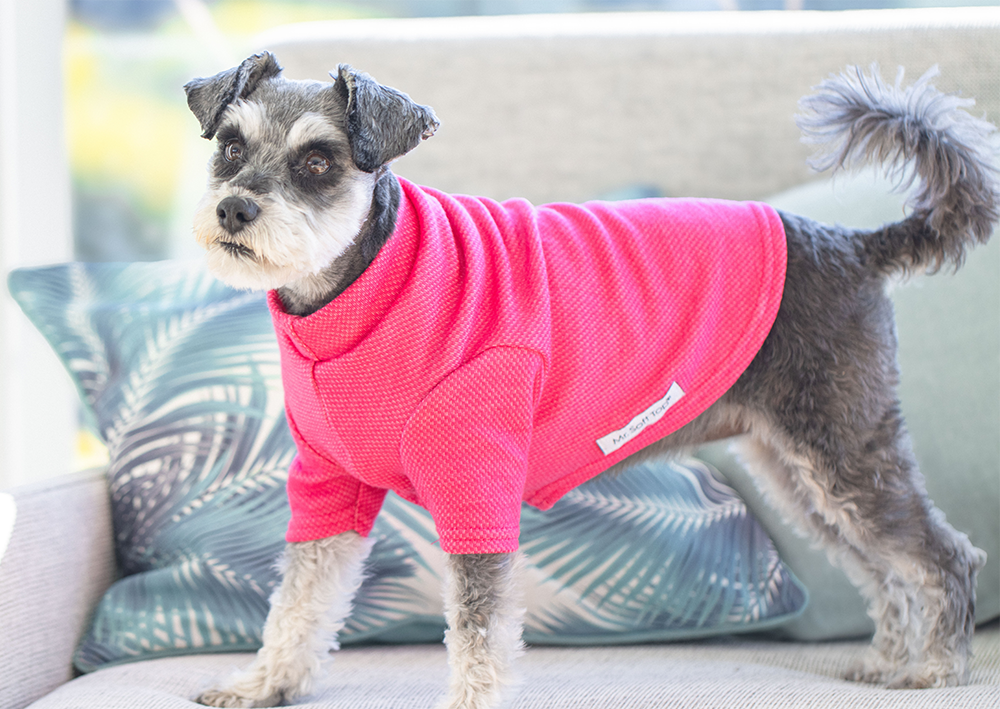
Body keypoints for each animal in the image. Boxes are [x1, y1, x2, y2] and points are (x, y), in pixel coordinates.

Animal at [184, 51, 996, 708]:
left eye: (319, 161)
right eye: (230, 145)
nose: (234, 208)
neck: (365, 292)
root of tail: (855, 247)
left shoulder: (476, 488)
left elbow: (478, 630)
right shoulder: (327, 486)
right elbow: (300, 598)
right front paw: (265, 683)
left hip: (843, 451)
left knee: (941, 555)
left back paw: (936, 669)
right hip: (800, 472)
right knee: (881, 570)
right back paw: (889, 661)